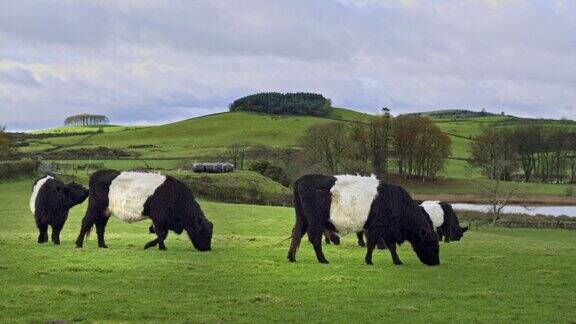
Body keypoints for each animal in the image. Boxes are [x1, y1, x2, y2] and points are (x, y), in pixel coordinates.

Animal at [74, 171, 214, 252]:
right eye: (206, 233)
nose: (207, 249)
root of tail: (97, 174)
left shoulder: (164, 220)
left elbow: (163, 234)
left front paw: (154, 246)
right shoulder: (159, 218)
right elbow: (161, 234)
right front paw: (159, 247)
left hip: (105, 211)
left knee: (100, 227)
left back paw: (103, 245)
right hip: (95, 207)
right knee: (86, 222)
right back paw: (79, 244)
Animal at [286, 175, 438, 266]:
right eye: (431, 243)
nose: (436, 262)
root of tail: (302, 179)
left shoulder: (386, 230)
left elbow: (391, 246)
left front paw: (397, 261)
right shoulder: (377, 227)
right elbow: (372, 244)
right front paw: (369, 260)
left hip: (303, 219)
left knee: (296, 234)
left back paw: (292, 257)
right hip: (315, 221)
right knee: (314, 238)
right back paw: (323, 259)